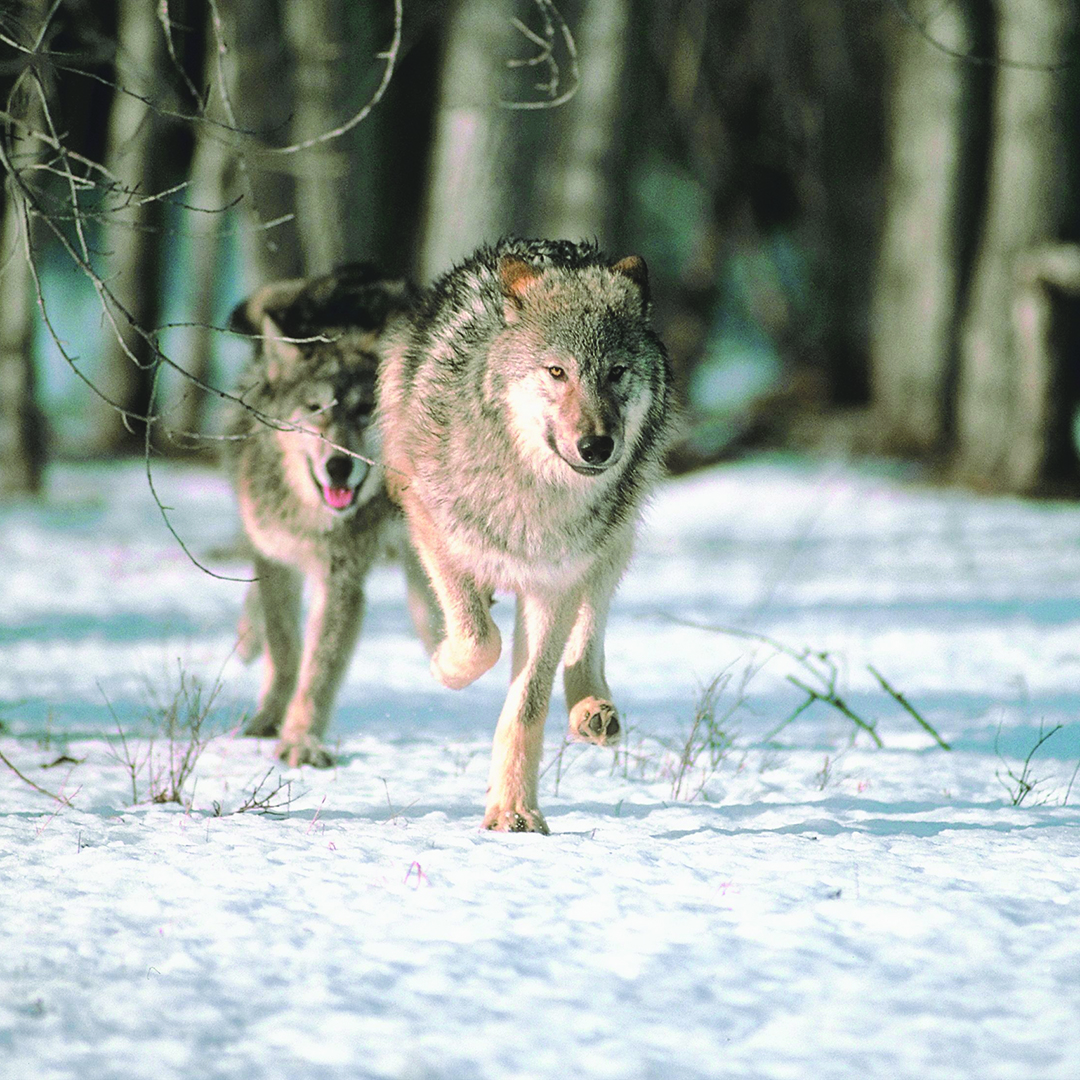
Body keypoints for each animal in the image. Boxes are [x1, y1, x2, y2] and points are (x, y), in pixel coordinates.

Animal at [227, 263, 414, 767]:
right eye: (315, 409)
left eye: (365, 410)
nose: (339, 465)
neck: (311, 518)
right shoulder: (274, 558)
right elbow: (285, 649)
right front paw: (268, 721)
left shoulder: (342, 579)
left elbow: (320, 668)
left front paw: (301, 741)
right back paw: (246, 639)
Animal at [378, 238, 673, 832]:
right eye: (557, 371)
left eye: (616, 371)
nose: (597, 447)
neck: (535, 495)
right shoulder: (432, 527)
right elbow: (478, 641)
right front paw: (444, 666)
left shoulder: (555, 581)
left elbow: (528, 702)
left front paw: (513, 810)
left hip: (616, 538)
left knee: (589, 631)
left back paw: (593, 710)